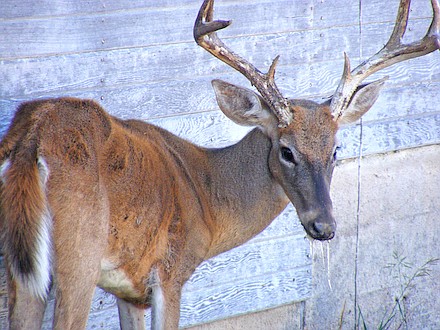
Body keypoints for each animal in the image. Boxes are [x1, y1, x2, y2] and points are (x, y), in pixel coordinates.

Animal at [0, 0, 438, 328]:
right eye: (287, 150)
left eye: (335, 149)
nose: (324, 227)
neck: (206, 198)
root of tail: (34, 136)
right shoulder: (170, 272)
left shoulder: (131, 290)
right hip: (79, 255)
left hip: (23, 268)